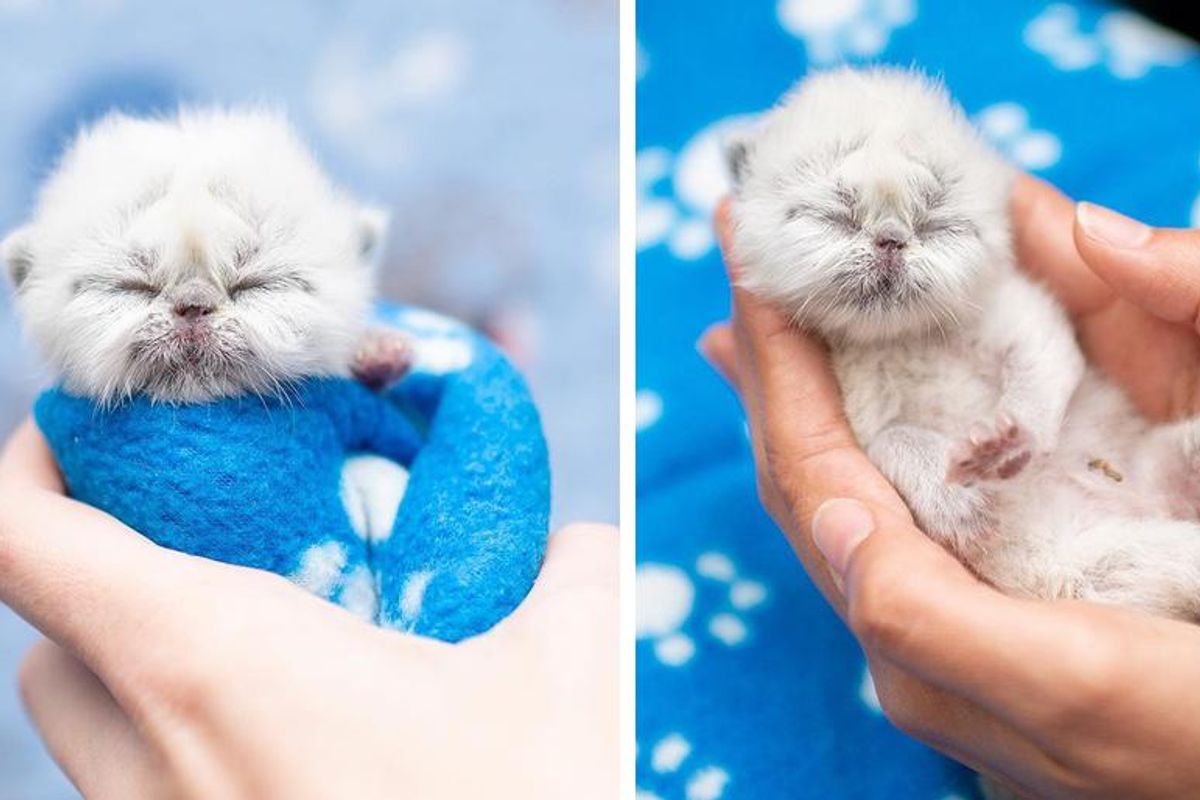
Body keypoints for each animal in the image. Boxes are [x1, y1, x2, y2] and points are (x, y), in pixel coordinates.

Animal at [724, 67, 1200, 618]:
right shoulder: (862, 414)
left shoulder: (1019, 316)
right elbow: (895, 439)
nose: (891, 239)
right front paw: (963, 502)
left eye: (939, 224)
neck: (904, 338)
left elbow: (1042, 368)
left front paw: (1011, 441)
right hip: (1115, 563)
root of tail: (1154, 506)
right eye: (833, 217)